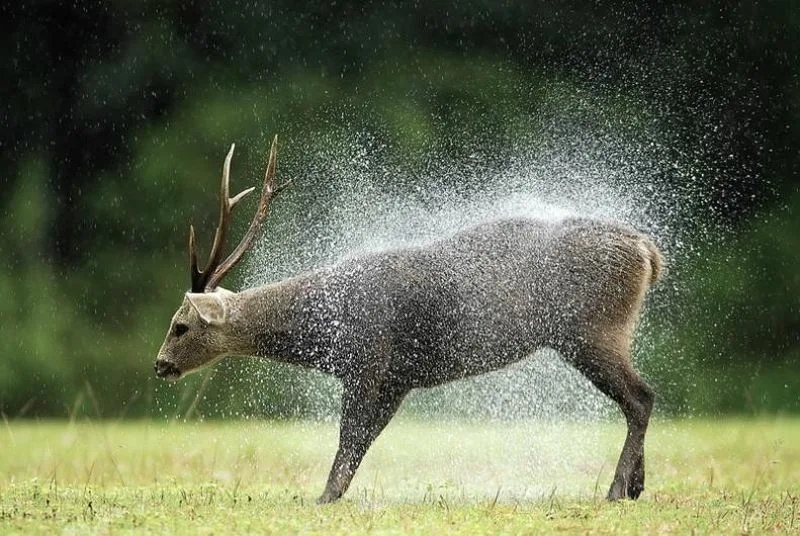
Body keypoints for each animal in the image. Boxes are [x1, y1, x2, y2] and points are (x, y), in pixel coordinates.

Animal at [155, 136, 664, 504]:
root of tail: (648, 251)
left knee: (641, 396)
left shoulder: (367, 360)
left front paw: (322, 498)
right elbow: (363, 442)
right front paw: (334, 494)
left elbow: (347, 439)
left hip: (591, 329)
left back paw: (616, 490)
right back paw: (636, 486)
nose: (160, 365)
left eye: (181, 325)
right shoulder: (399, 379)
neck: (324, 325)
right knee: (640, 397)